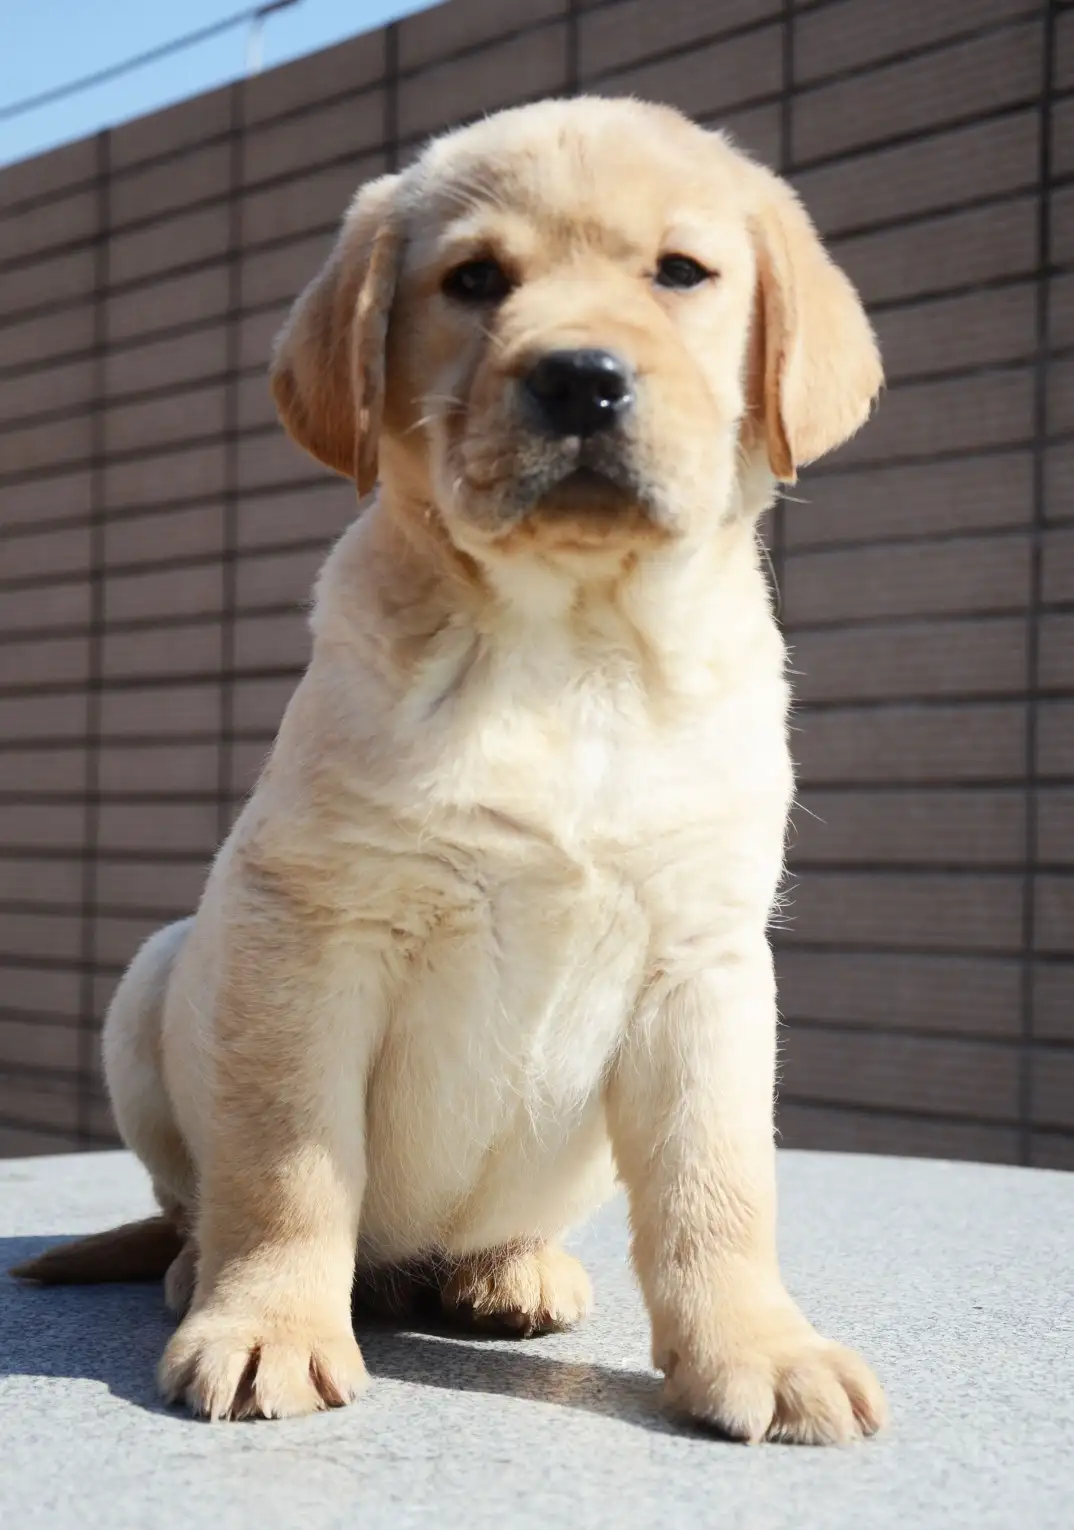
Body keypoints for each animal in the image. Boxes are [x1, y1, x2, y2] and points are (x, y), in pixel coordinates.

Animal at [16, 98, 887, 1444]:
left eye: (681, 273)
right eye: (474, 281)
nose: (580, 376)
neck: (572, 647)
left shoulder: (706, 963)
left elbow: (719, 1188)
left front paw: (759, 1346)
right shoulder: (313, 929)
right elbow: (289, 1165)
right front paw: (269, 1323)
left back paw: (508, 1270)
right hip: (157, 972)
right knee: (192, 1197)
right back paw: (196, 1265)